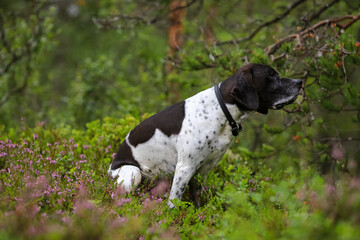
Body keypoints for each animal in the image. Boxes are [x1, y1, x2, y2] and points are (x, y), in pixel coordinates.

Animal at [108, 63, 302, 208]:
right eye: (272, 76)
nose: (300, 81)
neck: (220, 111)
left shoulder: (204, 169)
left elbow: (197, 199)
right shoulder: (185, 167)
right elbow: (173, 203)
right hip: (133, 173)